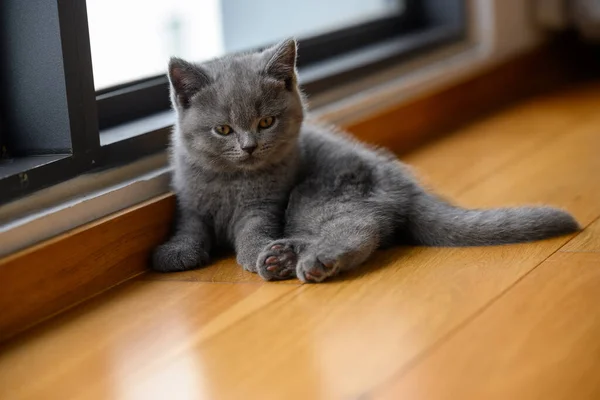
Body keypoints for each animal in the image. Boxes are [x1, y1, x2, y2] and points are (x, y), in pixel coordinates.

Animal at [152, 36, 580, 282]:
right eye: (223, 129)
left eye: (266, 122)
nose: (249, 146)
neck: (230, 181)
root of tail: (406, 186)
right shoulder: (189, 201)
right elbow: (189, 225)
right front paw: (176, 252)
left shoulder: (266, 204)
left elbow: (254, 228)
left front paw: (253, 251)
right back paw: (284, 257)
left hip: (319, 192)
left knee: (359, 228)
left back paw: (305, 260)